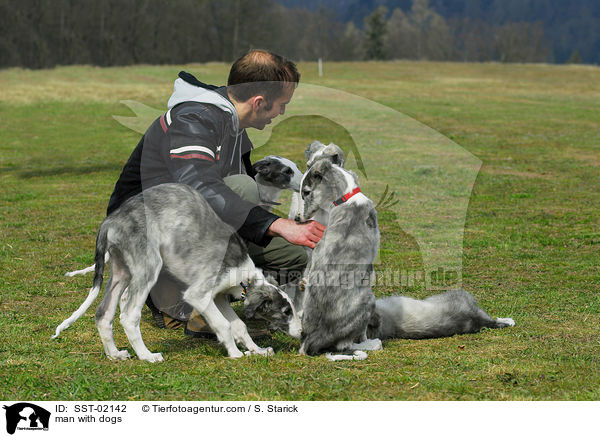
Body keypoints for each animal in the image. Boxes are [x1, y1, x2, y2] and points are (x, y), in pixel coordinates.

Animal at [52, 182, 302, 360]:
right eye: (285, 312)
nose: (302, 333)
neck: (244, 275)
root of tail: (110, 220)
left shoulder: (218, 296)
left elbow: (238, 325)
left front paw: (257, 350)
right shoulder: (199, 295)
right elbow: (223, 325)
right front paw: (236, 354)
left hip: (121, 270)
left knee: (103, 313)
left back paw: (115, 354)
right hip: (148, 266)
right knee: (129, 315)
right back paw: (147, 356)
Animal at [298, 158, 382, 360]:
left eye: (306, 192)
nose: (299, 219)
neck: (347, 197)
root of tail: (311, 341)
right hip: (369, 299)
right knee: (348, 343)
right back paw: (372, 343)